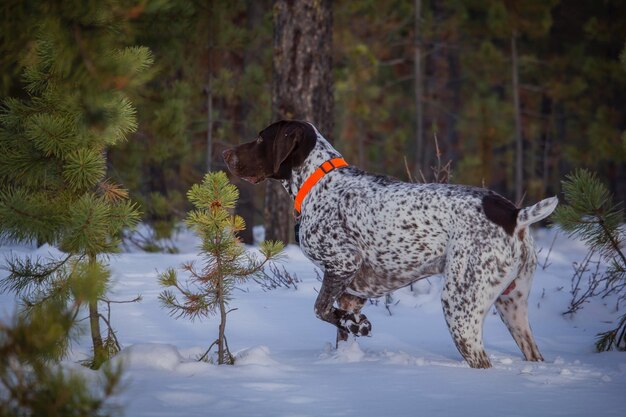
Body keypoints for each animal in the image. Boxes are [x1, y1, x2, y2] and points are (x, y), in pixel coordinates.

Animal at [221, 119, 556, 368]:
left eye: (261, 138)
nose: (225, 154)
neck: (318, 182)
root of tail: (513, 215)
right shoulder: (352, 294)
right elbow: (340, 326)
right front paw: (350, 339)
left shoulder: (343, 262)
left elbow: (320, 309)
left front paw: (361, 326)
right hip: (512, 306)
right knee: (532, 352)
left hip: (461, 306)